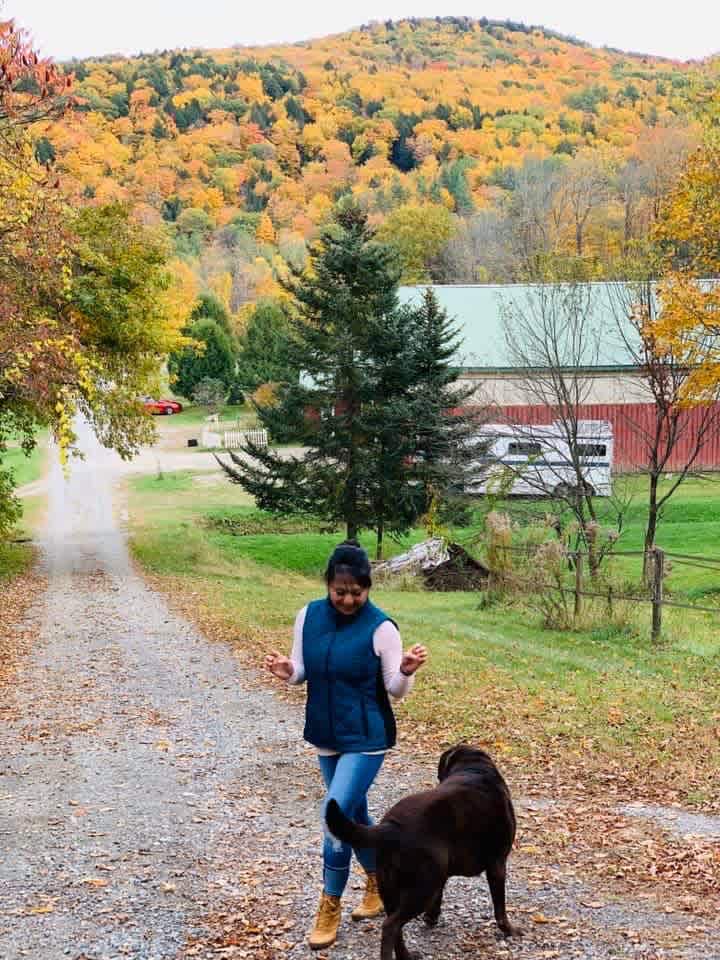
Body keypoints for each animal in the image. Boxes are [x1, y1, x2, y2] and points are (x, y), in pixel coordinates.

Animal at [324, 744, 516, 960]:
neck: (475, 769)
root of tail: (391, 828)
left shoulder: (444, 874)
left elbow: (439, 897)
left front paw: (432, 918)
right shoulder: (497, 864)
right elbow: (500, 907)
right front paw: (510, 930)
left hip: (391, 887)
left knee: (395, 926)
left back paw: (406, 955)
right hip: (422, 889)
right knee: (390, 926)